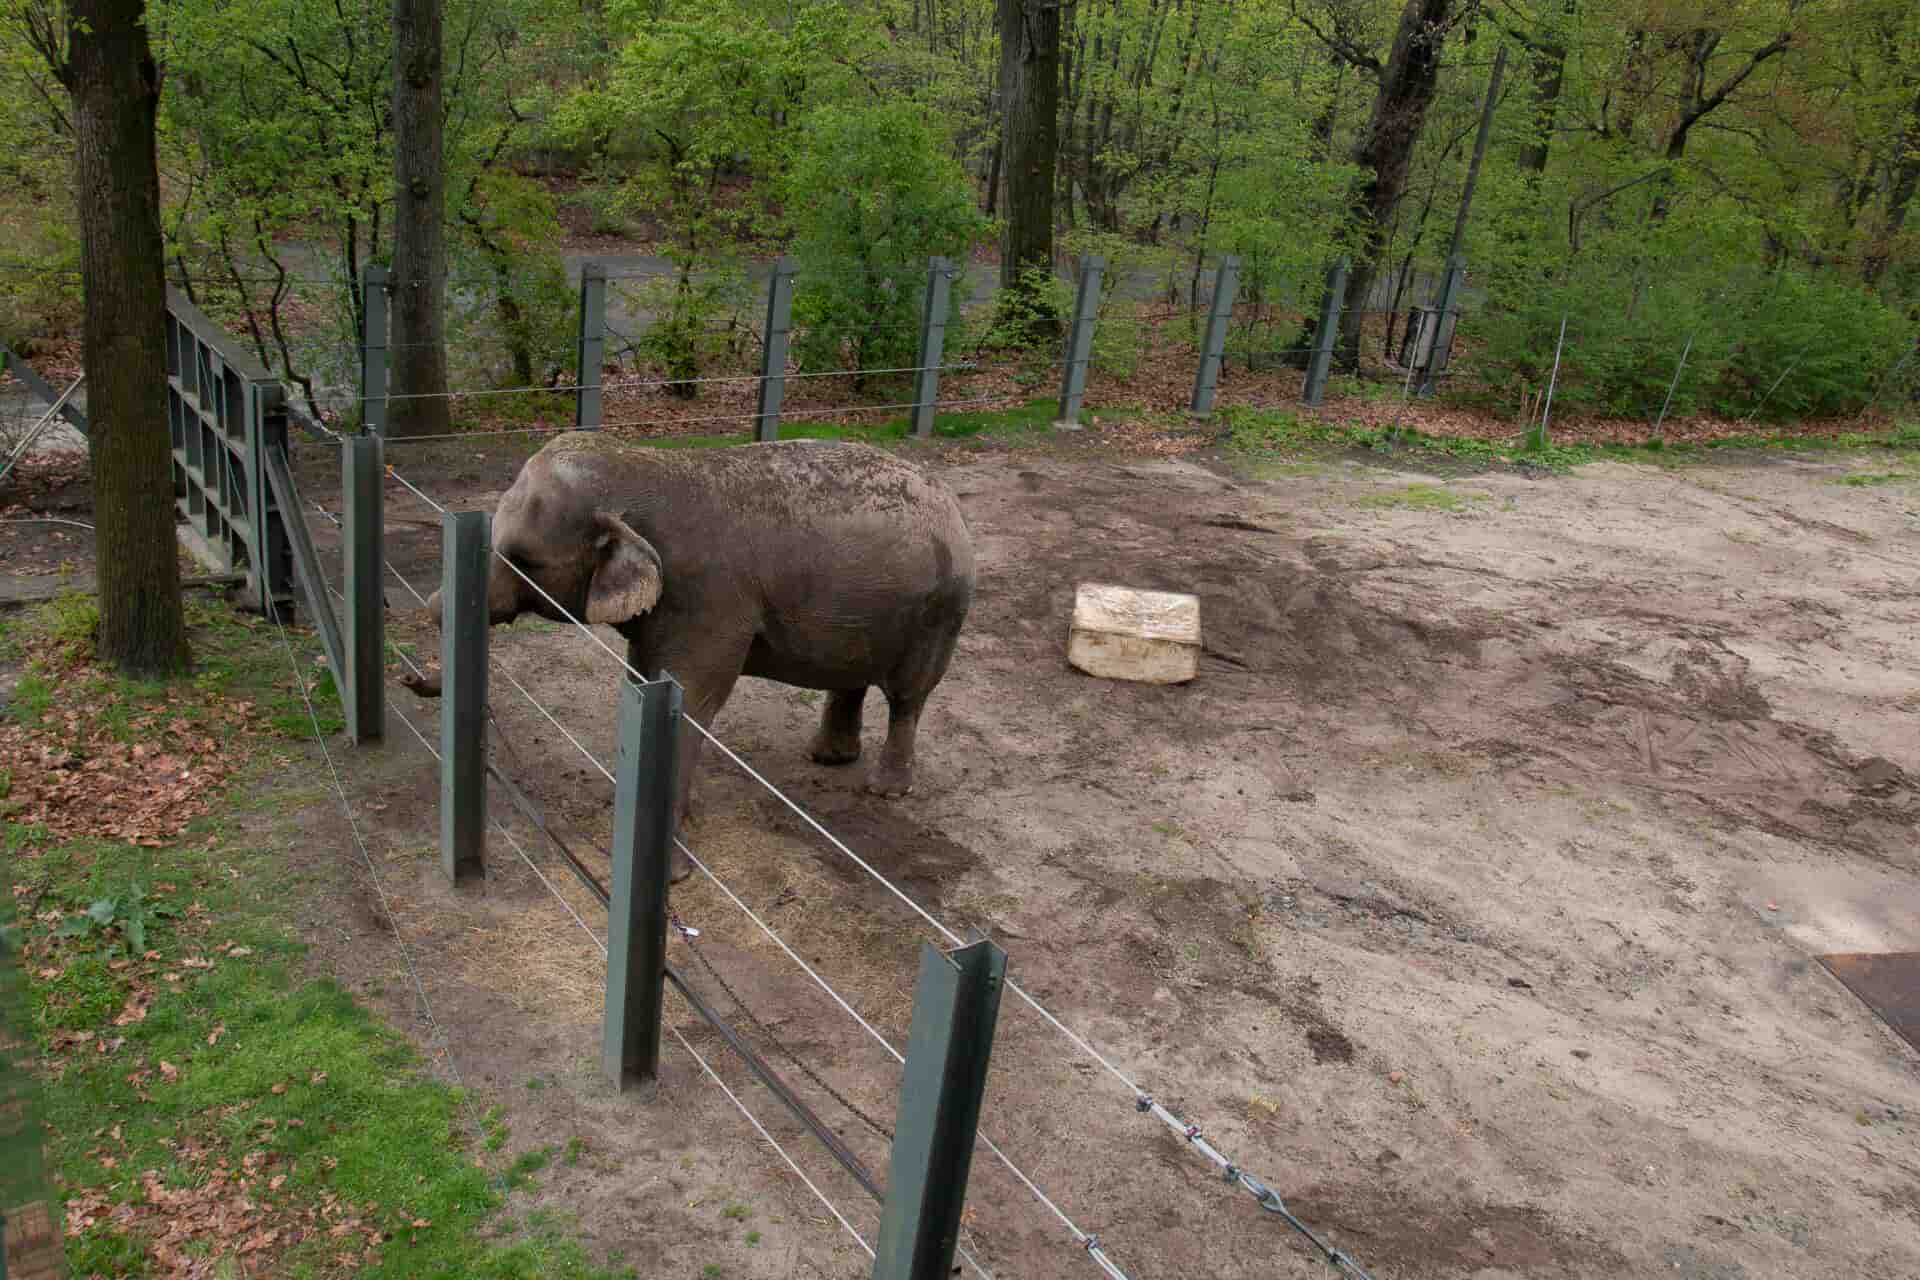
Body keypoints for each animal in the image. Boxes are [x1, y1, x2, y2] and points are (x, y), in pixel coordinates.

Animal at [406, 432, 975, 879]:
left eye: (525, 561)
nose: (411, 679)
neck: (641, 467)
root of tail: (948, 500)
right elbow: (644, 680)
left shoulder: (709, 599)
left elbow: (693, 704)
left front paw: (669, 872)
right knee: (852, 672)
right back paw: (829, 757)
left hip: (937, 612)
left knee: (908, 695)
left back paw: (886, 789)